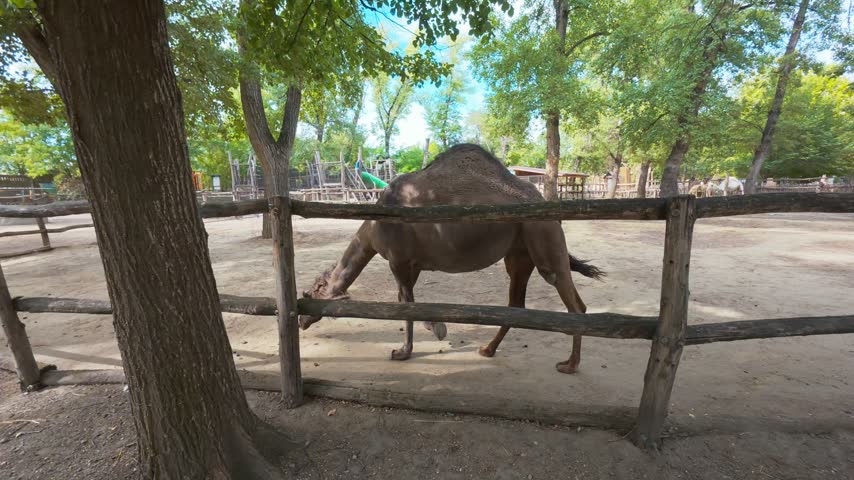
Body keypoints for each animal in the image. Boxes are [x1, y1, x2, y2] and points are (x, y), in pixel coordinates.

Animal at [299, 144, 603, 374]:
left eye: (311, 293)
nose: (301, 320)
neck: (373, 227)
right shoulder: (412, 265)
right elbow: (406, 301)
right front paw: (433, 330)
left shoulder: (398, 260)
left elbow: (406, 305)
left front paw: (408, 348)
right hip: (518, 255)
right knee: (518, 303)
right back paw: (488, 349)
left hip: (543, 236)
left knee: (571, 301)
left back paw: (570, 364)